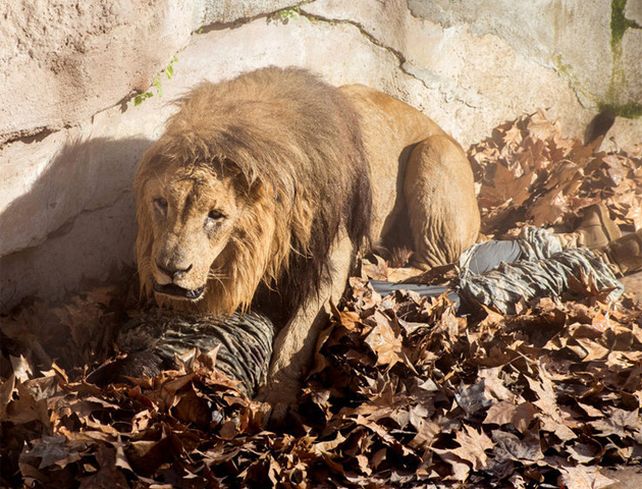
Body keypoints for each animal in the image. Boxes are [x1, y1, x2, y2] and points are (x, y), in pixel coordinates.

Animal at [134, 67, 480, 417]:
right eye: (162, 203)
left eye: (216, 215)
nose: (170, 269)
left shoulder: (332, 257)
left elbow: (297, 332)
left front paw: (276, 396)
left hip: (434, 152)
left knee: (438, 264)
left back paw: (377, 271)